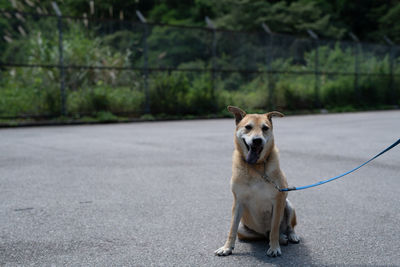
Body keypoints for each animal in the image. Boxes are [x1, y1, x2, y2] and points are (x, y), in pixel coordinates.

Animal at [214, 106, 298, 258]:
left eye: (265, 128)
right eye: (248, 127)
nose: (257, 140)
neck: (255, 167)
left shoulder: (278, 200)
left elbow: (275, 228)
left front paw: (274, 247)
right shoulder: (238, 201)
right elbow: (232, 229)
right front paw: (227, 247)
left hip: (288, 205)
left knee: (287, 227)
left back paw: (289, 236)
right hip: (244, 230)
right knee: (263, 235)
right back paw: (280, 238)